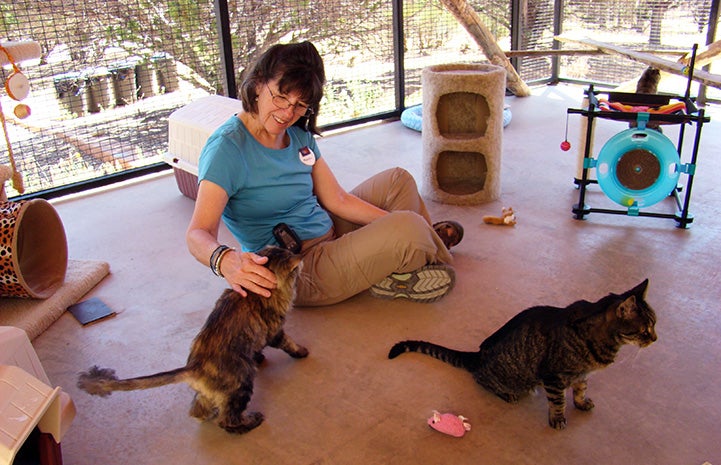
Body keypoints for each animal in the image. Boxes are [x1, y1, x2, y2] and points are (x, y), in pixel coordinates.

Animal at [77, 245, 308, 434]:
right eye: (295, 269)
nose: (301, 261)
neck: (255, 291)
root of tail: (195, 366)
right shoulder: (275, 331)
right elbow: (289, 343)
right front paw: (301, 352)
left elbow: (260, 348)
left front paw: (260, 356)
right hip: (242, 382)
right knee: (227, 420)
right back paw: (250, 422)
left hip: (215, 392)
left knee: (197, 410)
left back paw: (208, 414)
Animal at [388, 280, 660, 428]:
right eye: (645, 329)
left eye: (655, 324)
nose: (656, 338)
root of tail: (477, 354)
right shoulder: (553, 375)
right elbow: (559, 401)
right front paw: (558, 419)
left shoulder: (582, 374)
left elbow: (581, 390)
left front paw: (582, 403)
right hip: (510, 377)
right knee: (481, 379)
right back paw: (508, 393)